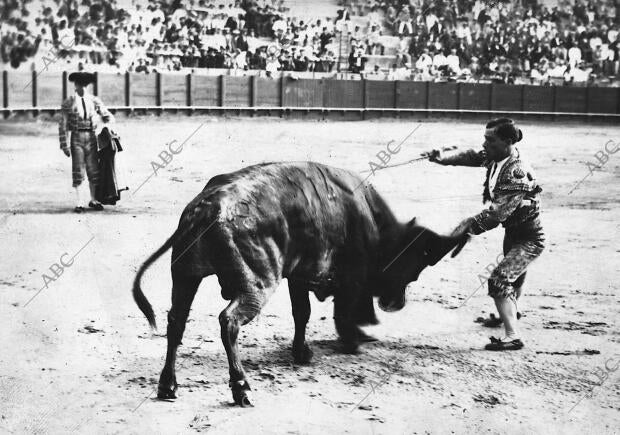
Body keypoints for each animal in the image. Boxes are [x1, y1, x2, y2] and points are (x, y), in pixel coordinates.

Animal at [133, 162, 468, 408]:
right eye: (412, 270)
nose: (396, 303)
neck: (372, 221)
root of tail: (207, 208)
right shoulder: (351, 277)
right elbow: (343, 312)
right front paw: (353, 342)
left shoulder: (298, 276)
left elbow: (301, 313)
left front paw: (302, 352)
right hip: (258, 284)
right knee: (228, 320)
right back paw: (241, 388)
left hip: (185, 277)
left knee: (176, 322)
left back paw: (168, 385)